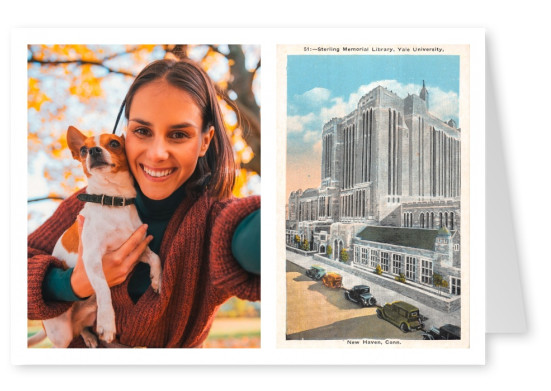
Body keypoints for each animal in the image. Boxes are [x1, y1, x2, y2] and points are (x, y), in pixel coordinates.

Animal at [28, 126, 161, 350]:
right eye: (83, 150)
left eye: (114, 143)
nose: (93, 151)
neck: (113, 200)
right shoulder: (92, 259)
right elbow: (104, 289)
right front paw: (108, 324)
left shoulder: (136, 248)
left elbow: (156, 257)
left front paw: (157, 279)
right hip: (61, 334)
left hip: (88, 315)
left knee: (81, 327)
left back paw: (89, 336)